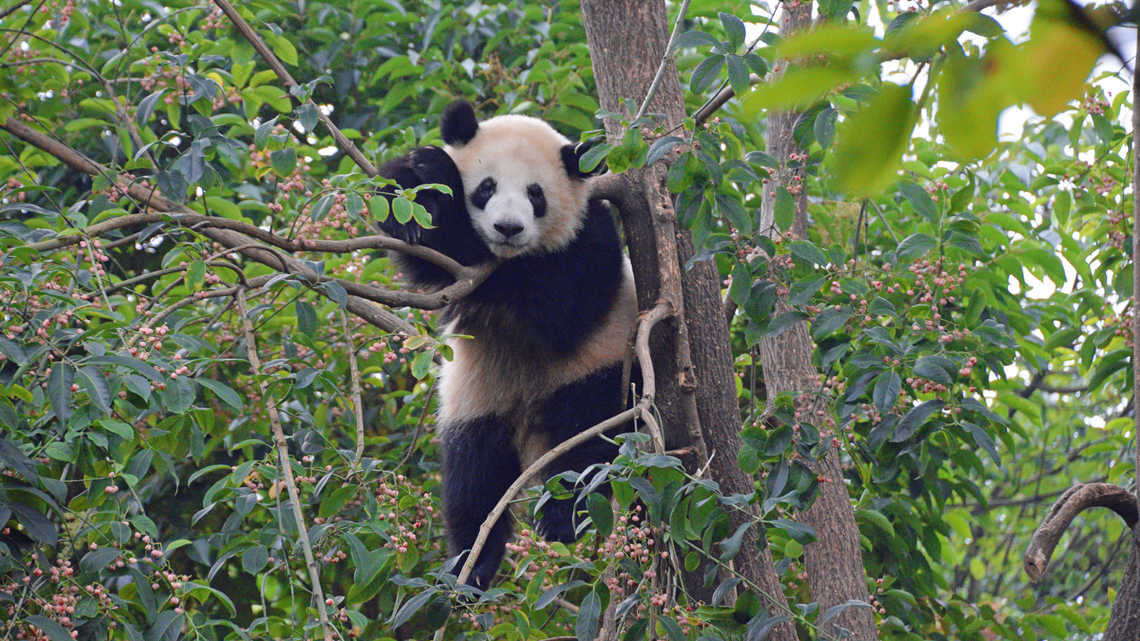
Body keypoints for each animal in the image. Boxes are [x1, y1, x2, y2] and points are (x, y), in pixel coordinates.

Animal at [377, 100, 639, 589]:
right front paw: (424, 177)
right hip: (478, 401)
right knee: (474, 480)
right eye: (486, 187)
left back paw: (561, 518)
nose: (508, 228)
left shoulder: (588, 247)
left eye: (536, 195)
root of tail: (529, 419)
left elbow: (562, 306)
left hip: (597, 369)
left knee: (586, 442)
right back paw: (472, 563)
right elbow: (418, 240)